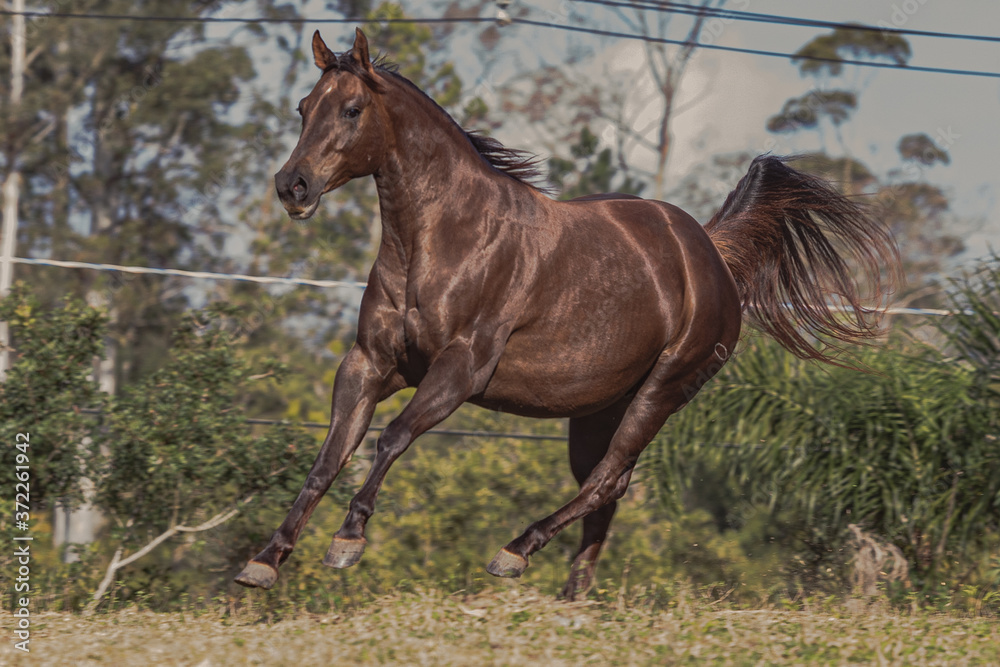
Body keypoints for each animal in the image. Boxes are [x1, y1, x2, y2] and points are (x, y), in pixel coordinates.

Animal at [235, 28, 899, 600]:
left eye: (351, 110)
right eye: (303, 107)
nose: (292, 186)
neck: (444, 239)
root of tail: (710, 252)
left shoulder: (459, 370)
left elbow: (390, 438)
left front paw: (347, 540)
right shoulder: (369, 364)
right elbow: (330, 455)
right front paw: (265, 560)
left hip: (663, 389)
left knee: (609, 478)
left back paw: (515, 553)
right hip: (598, 409)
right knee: (604, 490)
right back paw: (571, 597)